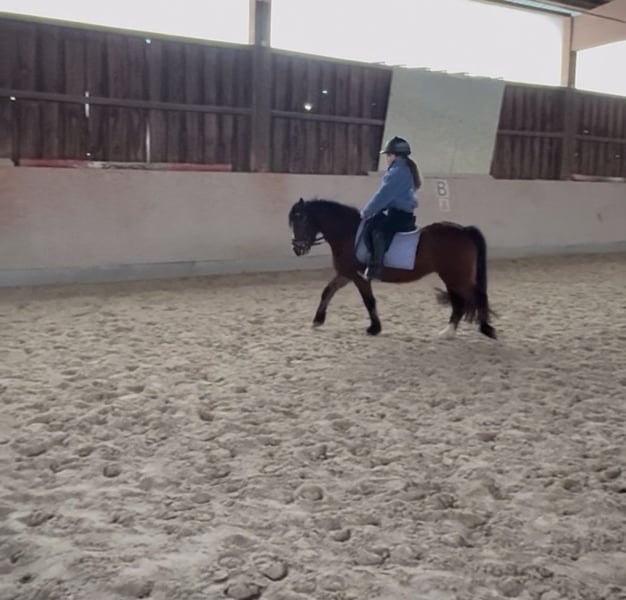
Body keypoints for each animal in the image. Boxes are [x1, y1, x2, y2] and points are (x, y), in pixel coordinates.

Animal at [288, 197, 497, 339]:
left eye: (301, 220)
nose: (297, 249)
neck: (348, 233)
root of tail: (464, 230)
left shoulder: (359, 277)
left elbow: (369, 301)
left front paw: (374, 328)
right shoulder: (346, 274)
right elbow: (327, 291)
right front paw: (317, 320)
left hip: (456, 277)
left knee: (478, 296)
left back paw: (486, 329)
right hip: (452, 278)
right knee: (460, 302)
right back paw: (449, 332)